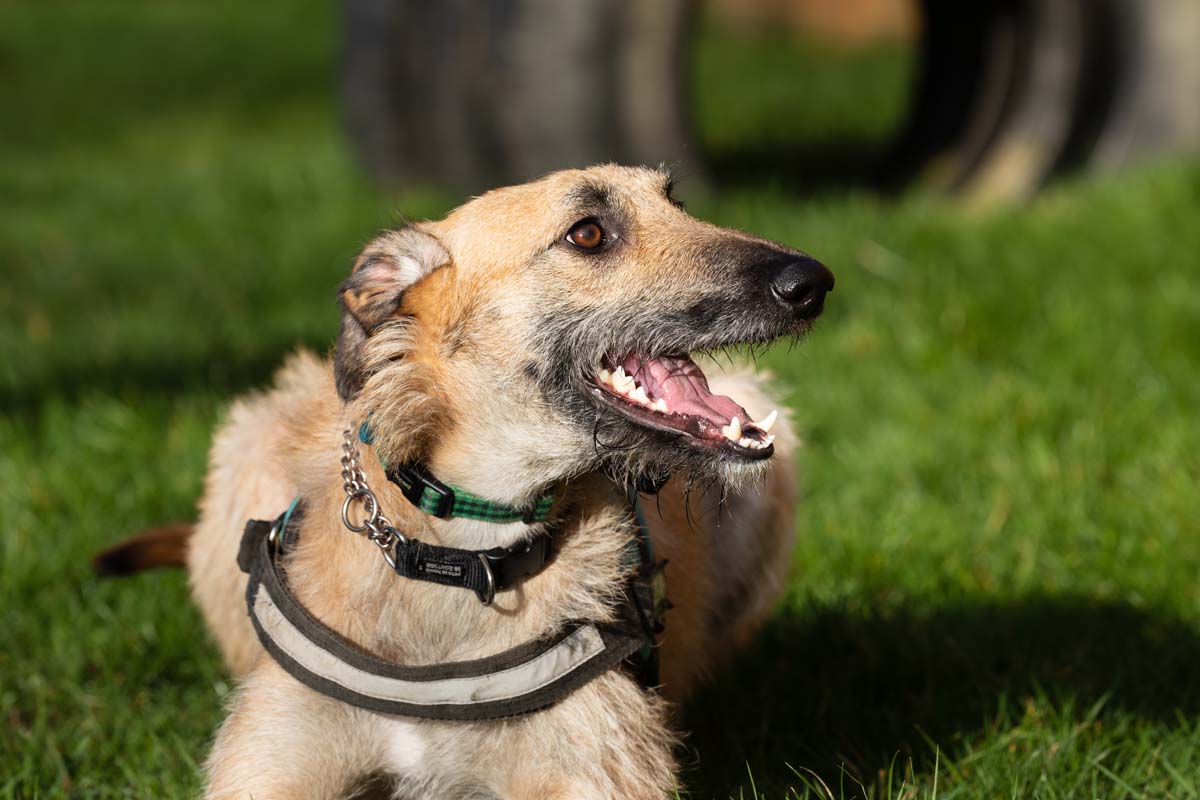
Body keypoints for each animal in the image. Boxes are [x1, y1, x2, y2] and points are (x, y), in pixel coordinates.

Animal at [100, 165, 835, 796]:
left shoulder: (593, 769)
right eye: (588, 233)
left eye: (675, 202)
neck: (463, 550)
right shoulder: (271, 762)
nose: (813, 282)